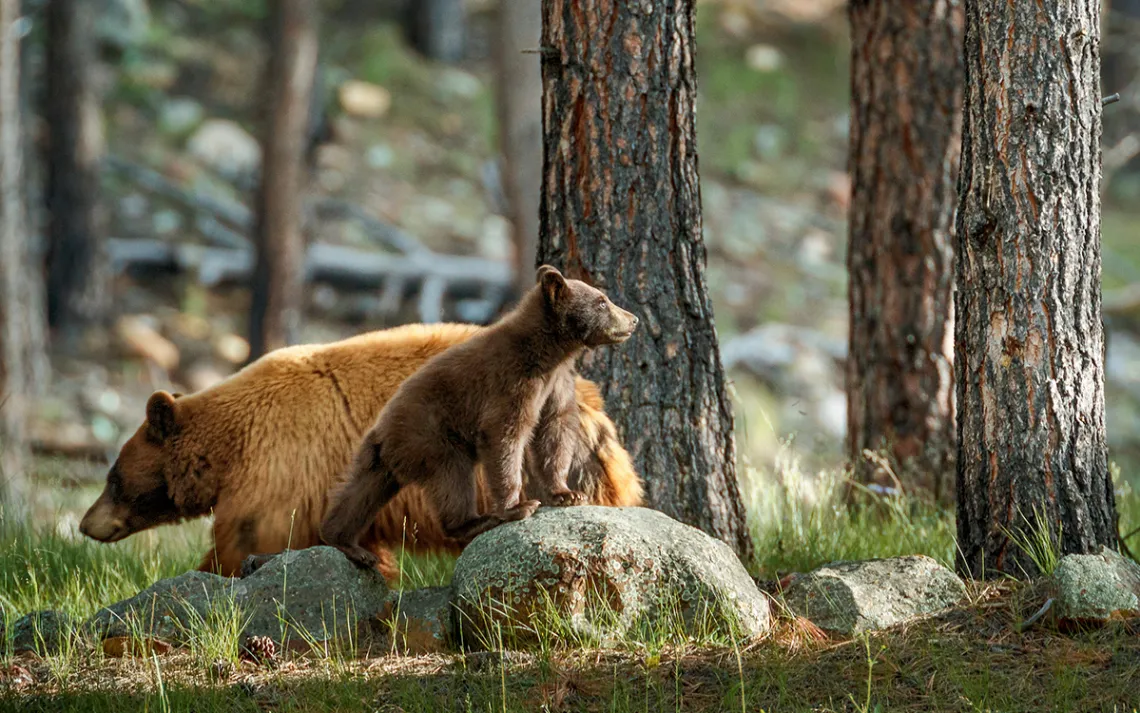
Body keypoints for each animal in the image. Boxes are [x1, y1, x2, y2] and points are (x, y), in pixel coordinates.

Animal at [79, 321, 642, 582]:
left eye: (113, 477)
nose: (86, 524)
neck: (232, 444)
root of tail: (597, 413)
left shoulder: (280, 470)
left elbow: (249, 539)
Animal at [320, 265, 639, 569]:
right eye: (601, 301)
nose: (633, 319)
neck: (547, 352)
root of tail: (384, 436)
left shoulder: (556, 382)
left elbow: (555, 428)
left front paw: (567, 493)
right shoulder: (511, 381)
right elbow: (506, 434)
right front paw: (517, 507)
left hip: (379, 462)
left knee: (360, 494)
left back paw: (347, 543)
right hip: (433, 438)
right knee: (453, 479)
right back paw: (476, 520)